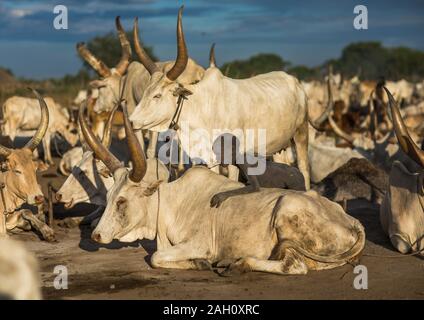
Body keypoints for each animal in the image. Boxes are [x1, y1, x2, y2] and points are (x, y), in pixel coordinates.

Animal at [130, 5, 312, 188]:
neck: (203, 106)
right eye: (145, 92)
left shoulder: (233, 158)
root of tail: (295, 82)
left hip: (301, 134)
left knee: (304, 168)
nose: (131, 121)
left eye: (157, 95)